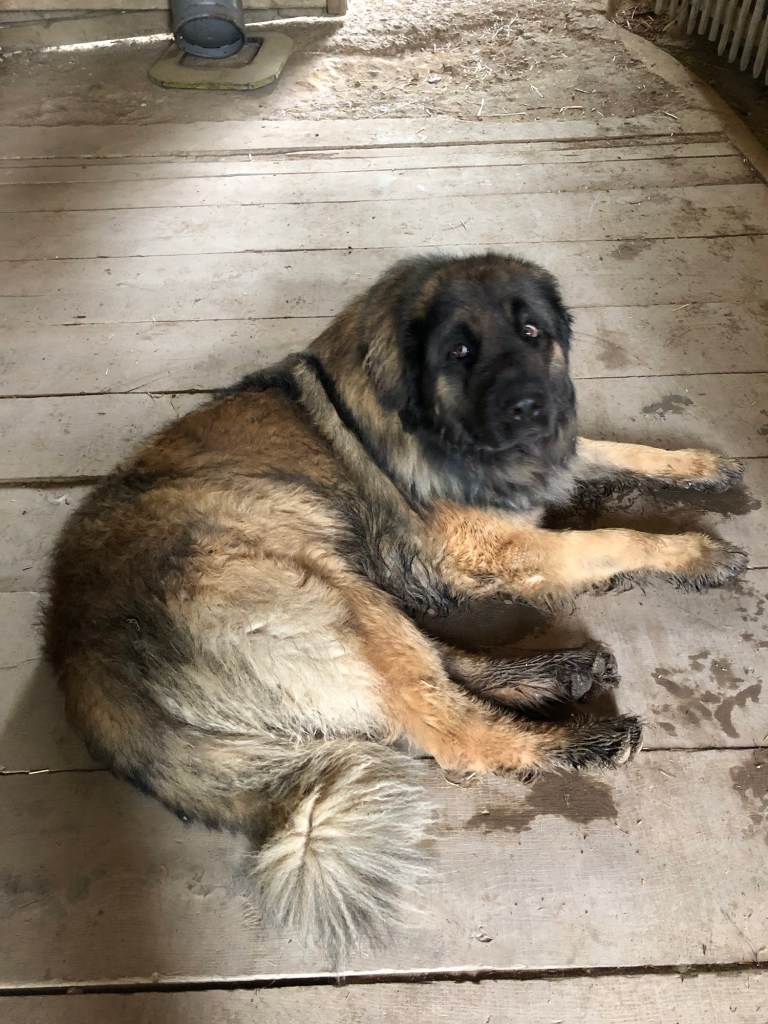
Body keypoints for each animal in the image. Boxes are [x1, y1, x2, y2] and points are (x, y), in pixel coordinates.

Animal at [44, 252, 747, 958]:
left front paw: (695, 463)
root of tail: (80, 662)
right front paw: (694, 553)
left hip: (349, 587)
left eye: (531, 333)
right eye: (460, 351)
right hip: (327, 592)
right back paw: (581, 737)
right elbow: (614, 537)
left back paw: (555, 672)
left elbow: (612, 449)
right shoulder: (487, 545)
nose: (529, 408)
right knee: (452, 727)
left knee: (438, 669)